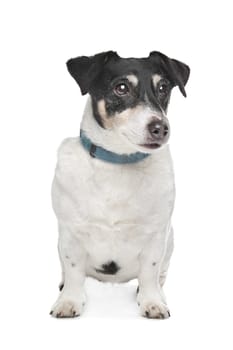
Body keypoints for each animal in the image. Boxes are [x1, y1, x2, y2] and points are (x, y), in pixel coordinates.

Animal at [49, 50, 189, 318]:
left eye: (163, 88)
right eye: (121, 88)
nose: (161, 128)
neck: (118, 163)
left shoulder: (156, 235)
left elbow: (150, 272)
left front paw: (152, 301)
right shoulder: (70, 233)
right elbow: (73, 271)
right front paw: (69, 301)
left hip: (171, 239)